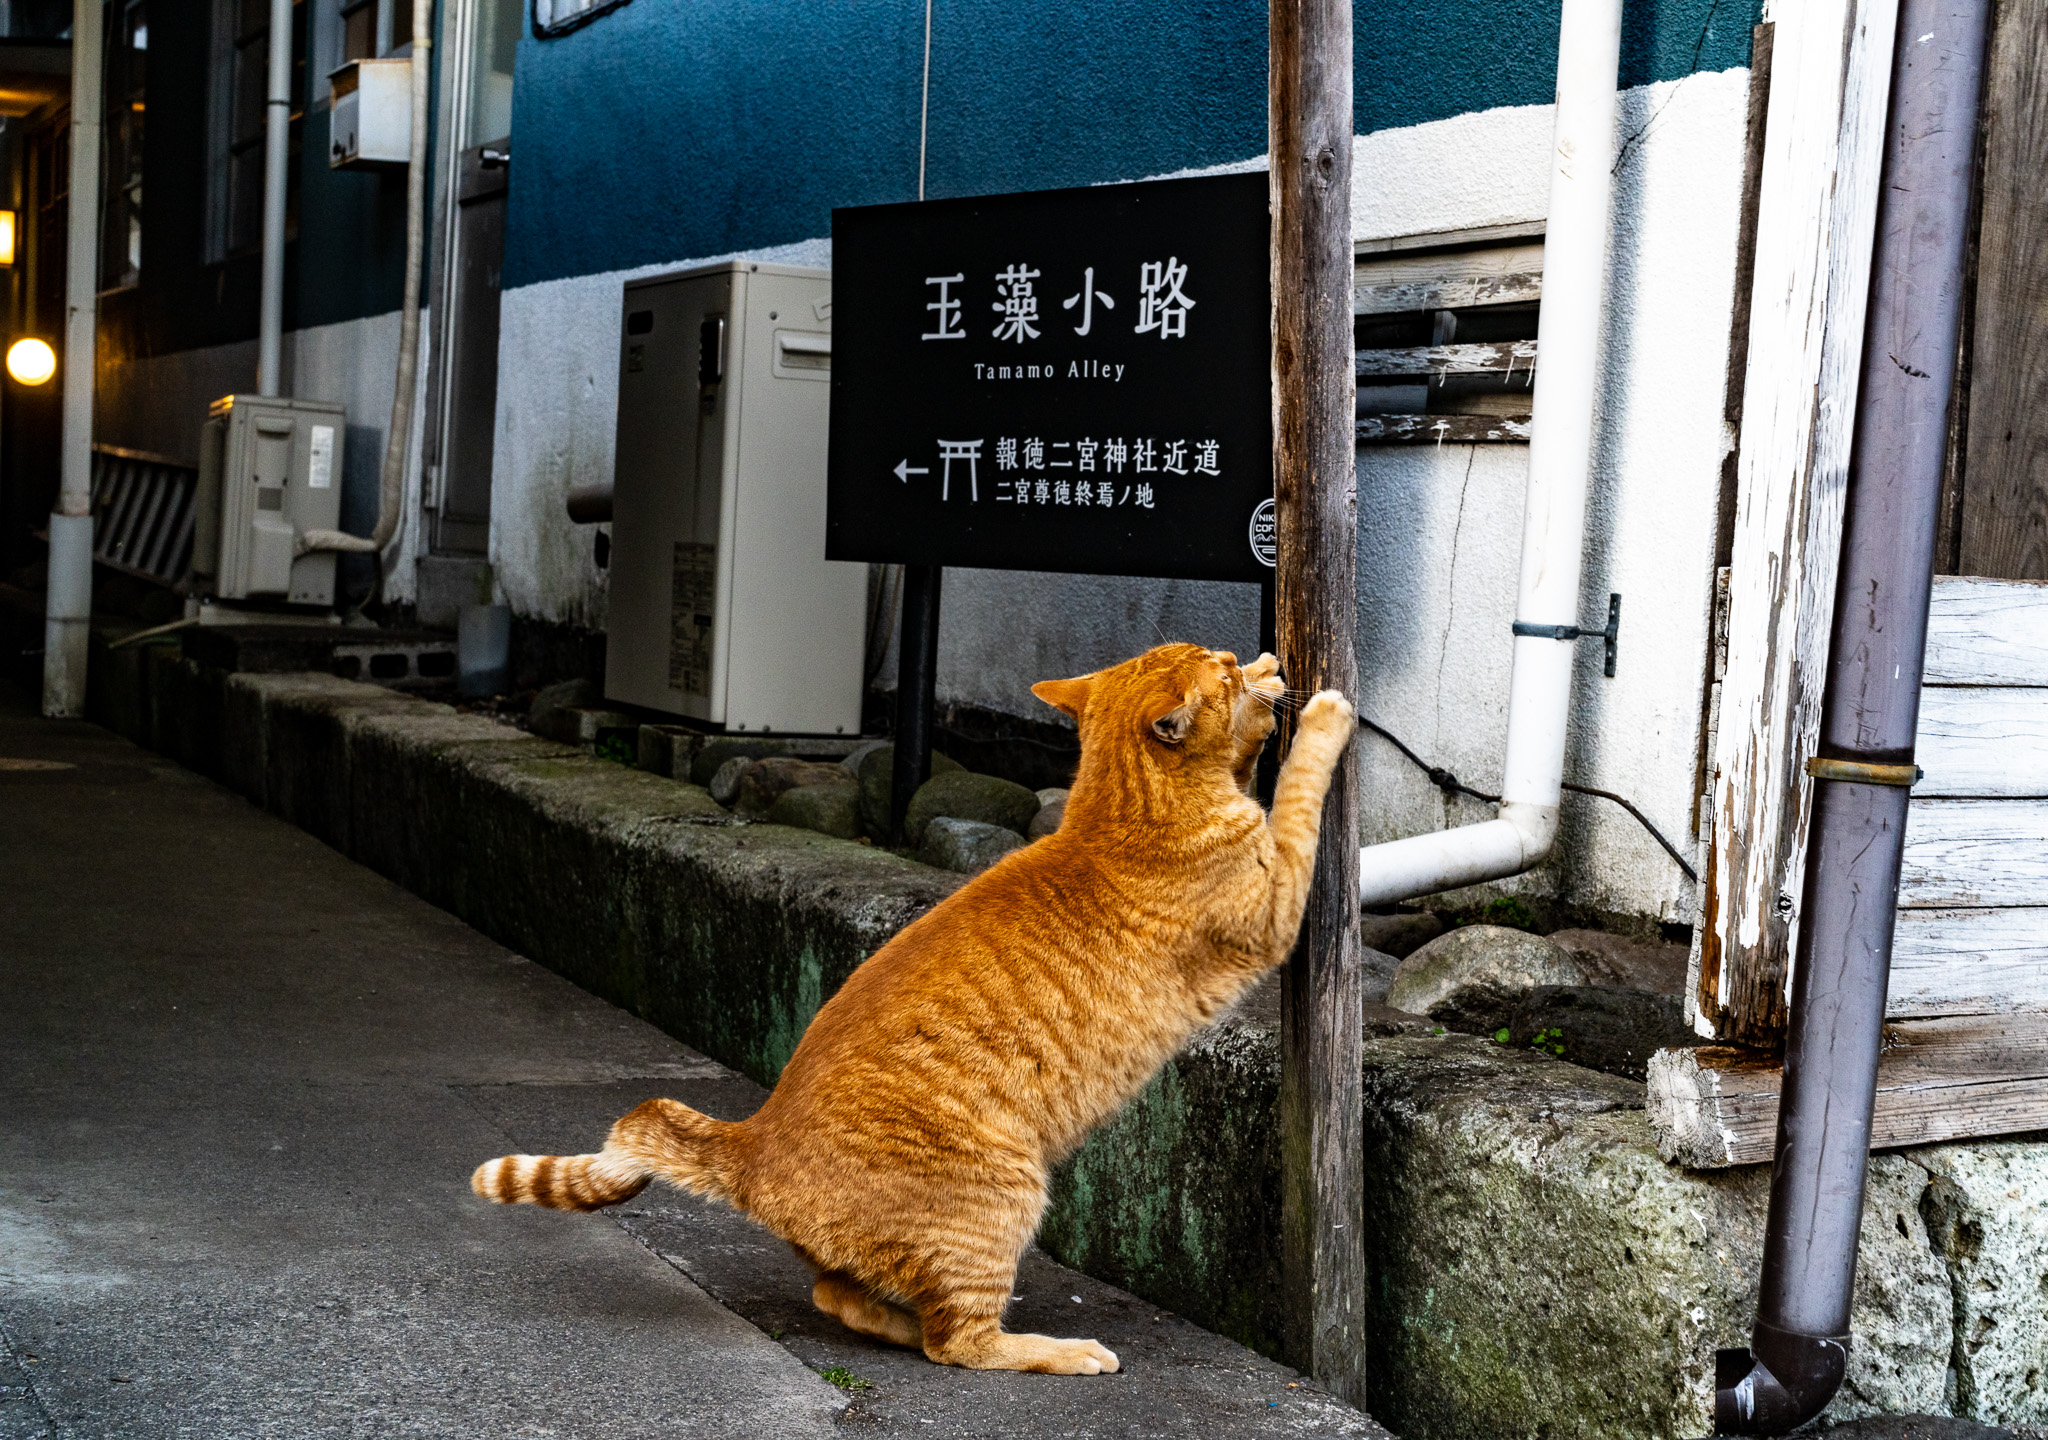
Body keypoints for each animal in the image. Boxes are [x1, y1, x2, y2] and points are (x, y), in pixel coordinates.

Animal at [471, 647, 1351, 1376]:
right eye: (1225, 670)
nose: (1257, 657)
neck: (1115, 811)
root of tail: (754, 1139)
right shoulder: (1275, 906)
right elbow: (1298, 800)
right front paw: (1322, 715)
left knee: (844, 1297)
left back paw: (892, 1323)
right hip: (1002, 1199)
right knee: (958, 1343)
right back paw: (1058, 1349)